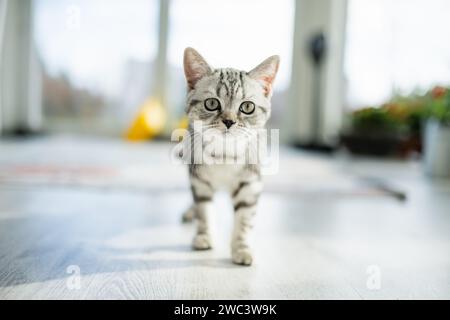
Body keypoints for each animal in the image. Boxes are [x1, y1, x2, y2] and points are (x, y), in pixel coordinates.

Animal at [180, 47, 278, 266]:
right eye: (211, 103)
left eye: (247, 107)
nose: (229, 121)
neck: (224, 155)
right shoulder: (199, 180)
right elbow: (204, 210)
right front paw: (205, 236)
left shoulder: (250, 182)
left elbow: (244, 219)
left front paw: (242, 248)